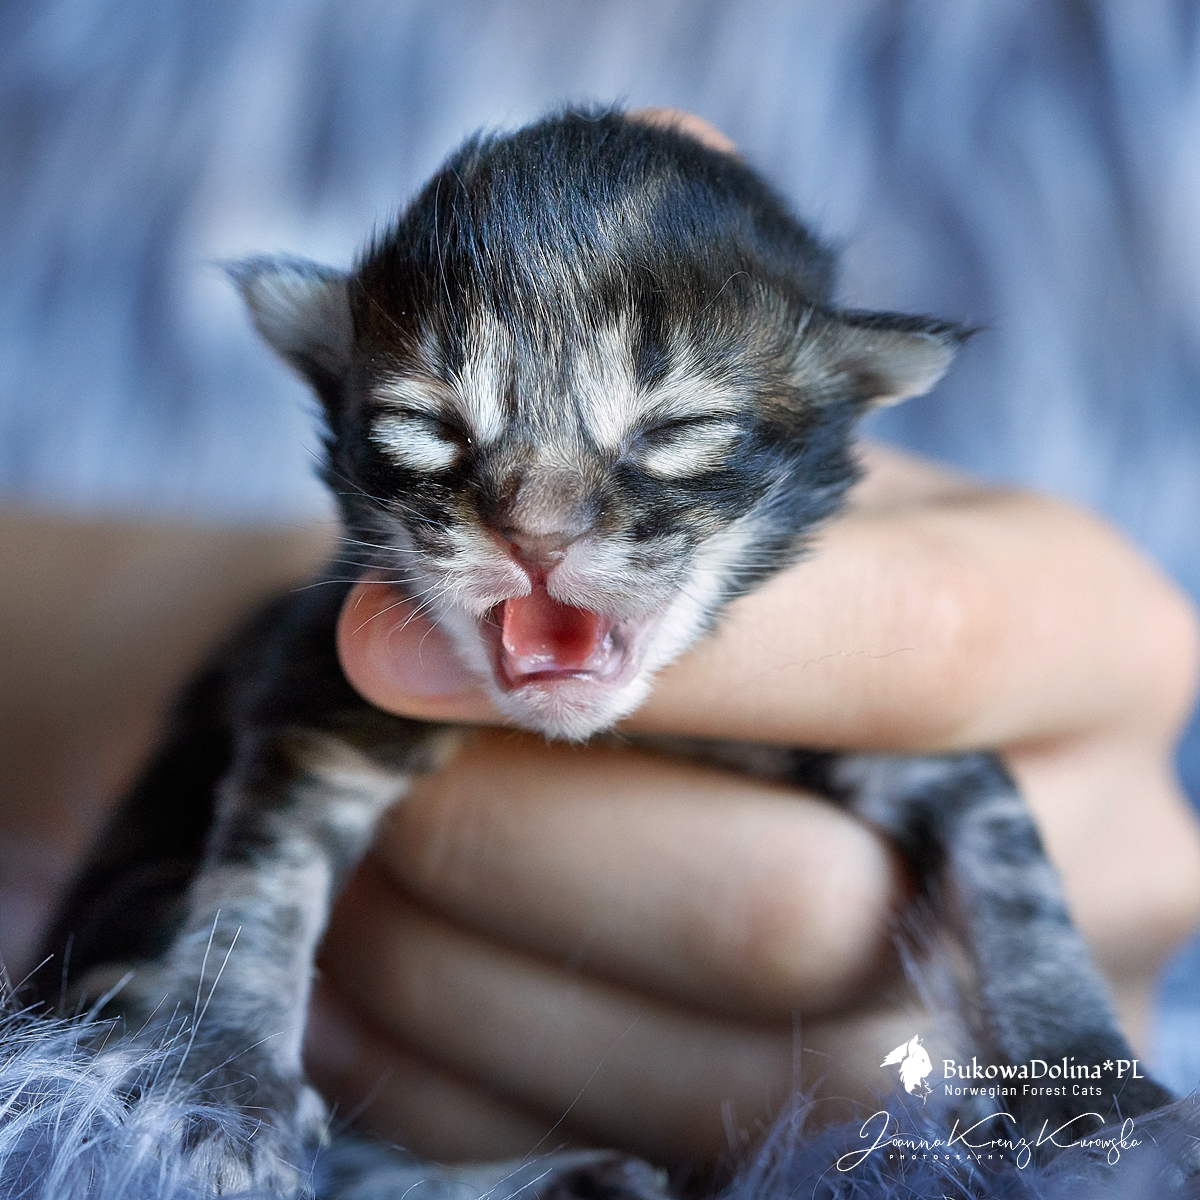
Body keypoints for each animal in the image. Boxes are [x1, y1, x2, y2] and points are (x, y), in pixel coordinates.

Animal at [33, 108, 1174, 1194]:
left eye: (675, 430)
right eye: (430, 426)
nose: (536, 535)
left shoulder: (916, 734)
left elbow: (1018, 878)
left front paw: (1103, 1106)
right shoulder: (314, 688)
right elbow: (256, 887)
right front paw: (218, 1079)